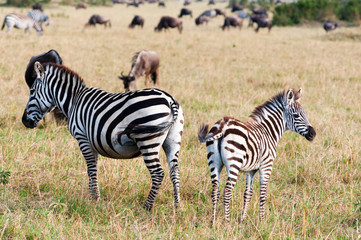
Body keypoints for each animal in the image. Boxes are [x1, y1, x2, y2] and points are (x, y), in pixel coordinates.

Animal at [22, 62, 184, 210]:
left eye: (32, 91)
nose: (24, 121)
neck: (73, 101)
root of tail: (170, 100)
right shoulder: (91, 141)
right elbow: (92, 168)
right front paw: (92, 195)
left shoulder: (82, 138)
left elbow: (91, 168)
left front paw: (94, 199)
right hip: (173, 140)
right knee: (174, 171)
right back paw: (177, 206)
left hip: (147, 141)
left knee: (158, 173)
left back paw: (147, 207)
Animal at [197, 88, 316, 225]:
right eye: (296, 116)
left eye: (305, 114)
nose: (313, 134)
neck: (269, 132)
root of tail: (223, 124)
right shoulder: (267, 165)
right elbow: (263, 194)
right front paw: (262, 221)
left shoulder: (251, 170)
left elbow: (247, 193)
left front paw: (242, 220)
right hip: (234, 163)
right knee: (227, 192)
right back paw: (227, 223)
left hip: (214, 162)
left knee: (215, 191)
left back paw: (213, 222)